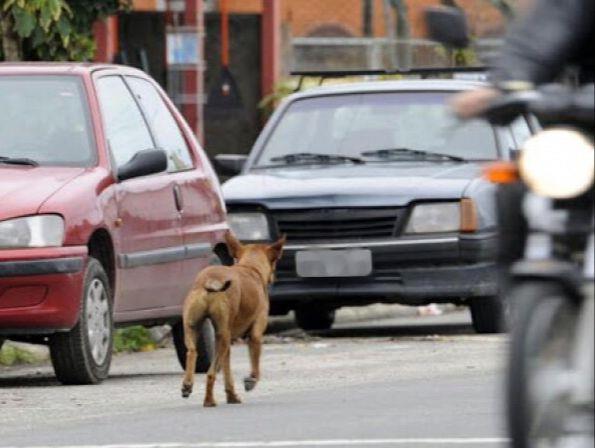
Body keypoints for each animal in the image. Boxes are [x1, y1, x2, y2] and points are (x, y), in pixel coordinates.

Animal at [180, 231, 286, 406]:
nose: (274, 277)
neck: (250, 268)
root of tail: (210, 280)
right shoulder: (255, 335)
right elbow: (255, 366)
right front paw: (251, 380)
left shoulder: (227, 343)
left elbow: (227, 372)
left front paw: (231, 396)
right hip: (222, 337)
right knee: (211, 373)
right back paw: (209, 401)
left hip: (196, 330)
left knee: (192, 353)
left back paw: (187, 385)